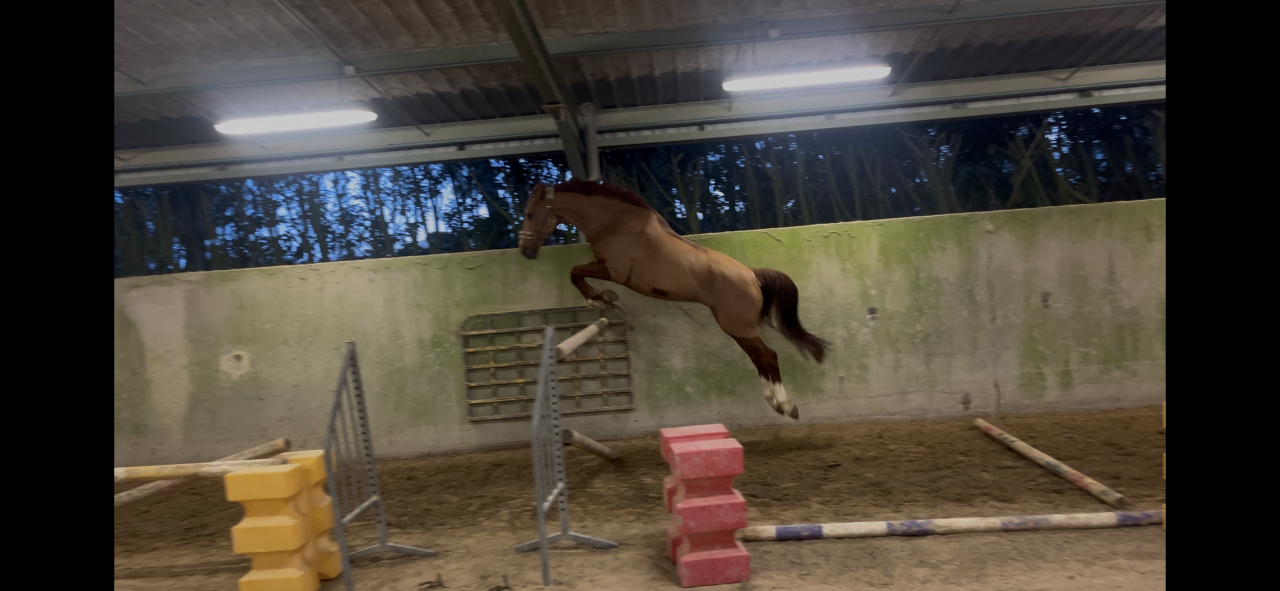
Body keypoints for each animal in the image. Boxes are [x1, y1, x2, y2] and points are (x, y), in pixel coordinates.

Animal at [517, 178, 830, 419]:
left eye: (530, 213)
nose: (525, 251)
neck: (615, 222)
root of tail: (752, 276)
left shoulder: (614, 270)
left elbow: (574, 272)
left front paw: (597, 298)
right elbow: (577, 272)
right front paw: (602, 298)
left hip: (738, 328)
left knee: (768, 357)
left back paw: (786, 405)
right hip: (740, 330)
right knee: (761, 360)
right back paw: (776, 403)